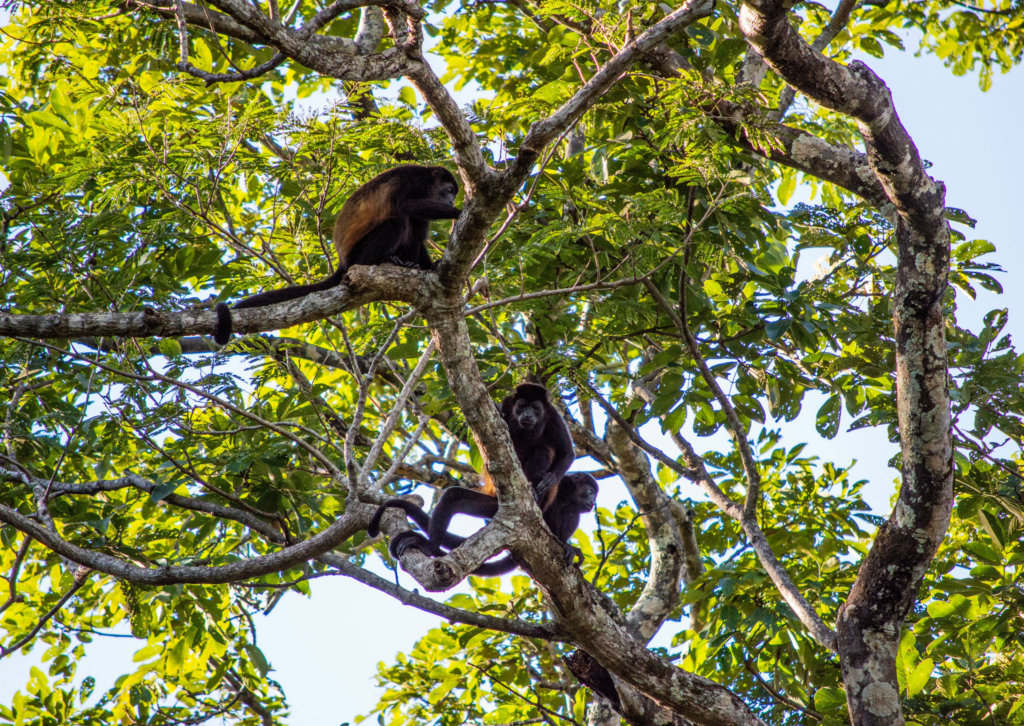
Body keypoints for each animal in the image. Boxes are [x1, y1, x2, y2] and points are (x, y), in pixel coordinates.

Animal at [213, 165, 460, 345]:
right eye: (449, 191)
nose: (451, 201)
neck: (428, 182)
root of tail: (343, 262)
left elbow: (418, 234)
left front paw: (429, 267)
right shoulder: (414, 182)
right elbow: (406, 204)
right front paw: (459, 211)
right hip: (357, 254)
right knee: (396, 220)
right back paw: (380, 260)